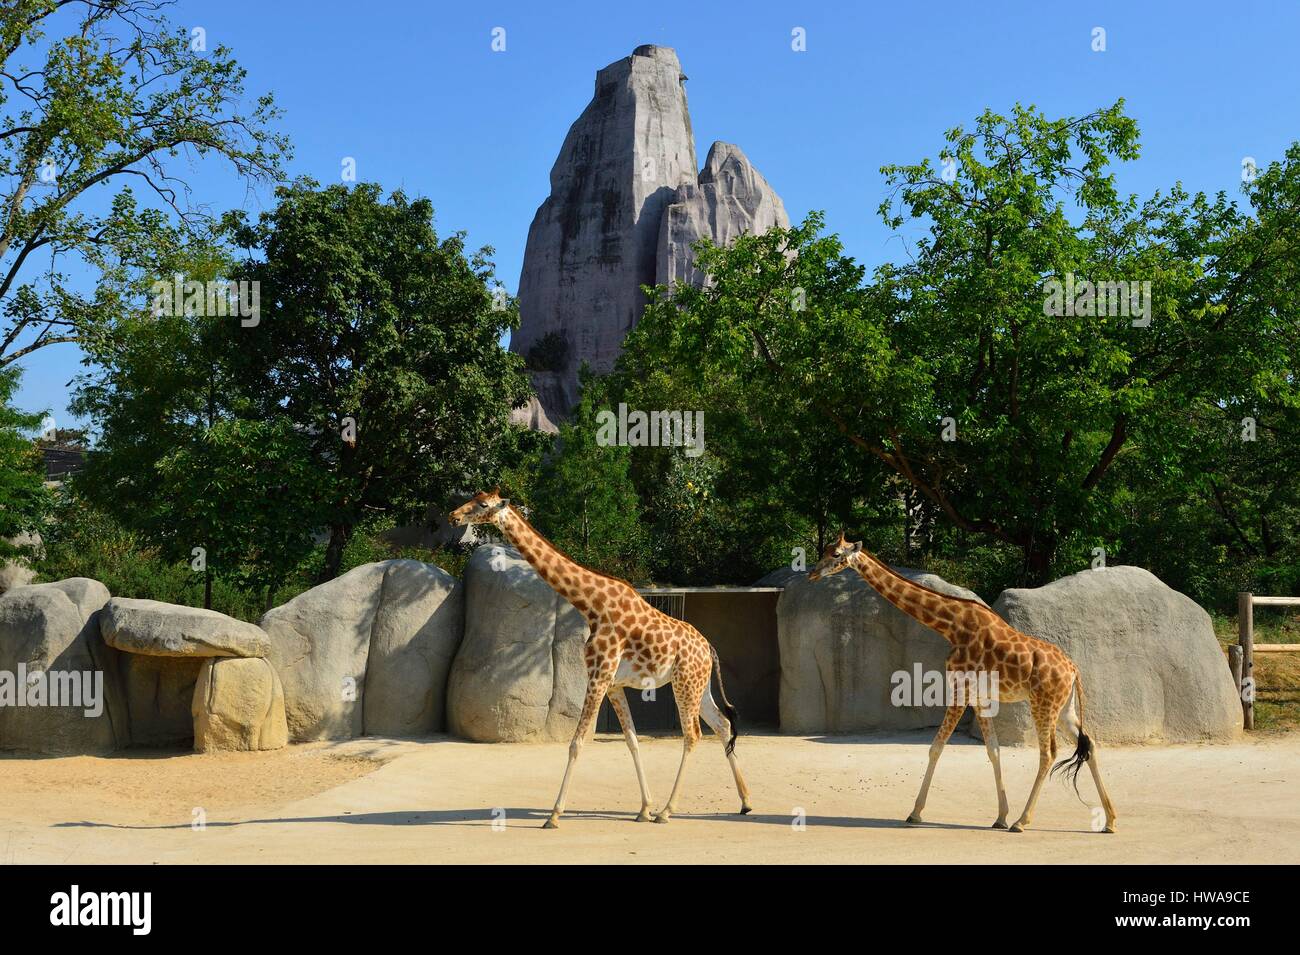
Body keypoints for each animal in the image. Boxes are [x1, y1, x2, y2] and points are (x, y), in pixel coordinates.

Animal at [452, 488, 754, 826]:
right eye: (472, 498)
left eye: (482, 504)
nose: (454, 516)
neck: (591, 605)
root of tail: (709, 648)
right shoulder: (613, 683)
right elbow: (632, 740)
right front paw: (643, 808)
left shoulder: (598, 675)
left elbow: (576, 743)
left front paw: (554, 815)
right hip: (698, 686)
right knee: (722, 725)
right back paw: (744, 802)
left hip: (685, 683)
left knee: (693, 734)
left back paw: (668, 811)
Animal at [811, 535, 1118, 831]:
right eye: (825, 550)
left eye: (835, 554)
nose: (812, 573)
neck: (951, 626)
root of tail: (1074, 670)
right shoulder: (980, 697)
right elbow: (993, 750)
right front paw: (1000, 816)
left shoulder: (960, 689)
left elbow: (936, 747)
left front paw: (915, 813)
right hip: (1064, 708)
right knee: (1089, 745)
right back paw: (1110, 821)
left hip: (1043, 704)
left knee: (1049, 753)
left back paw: (1022, 821)